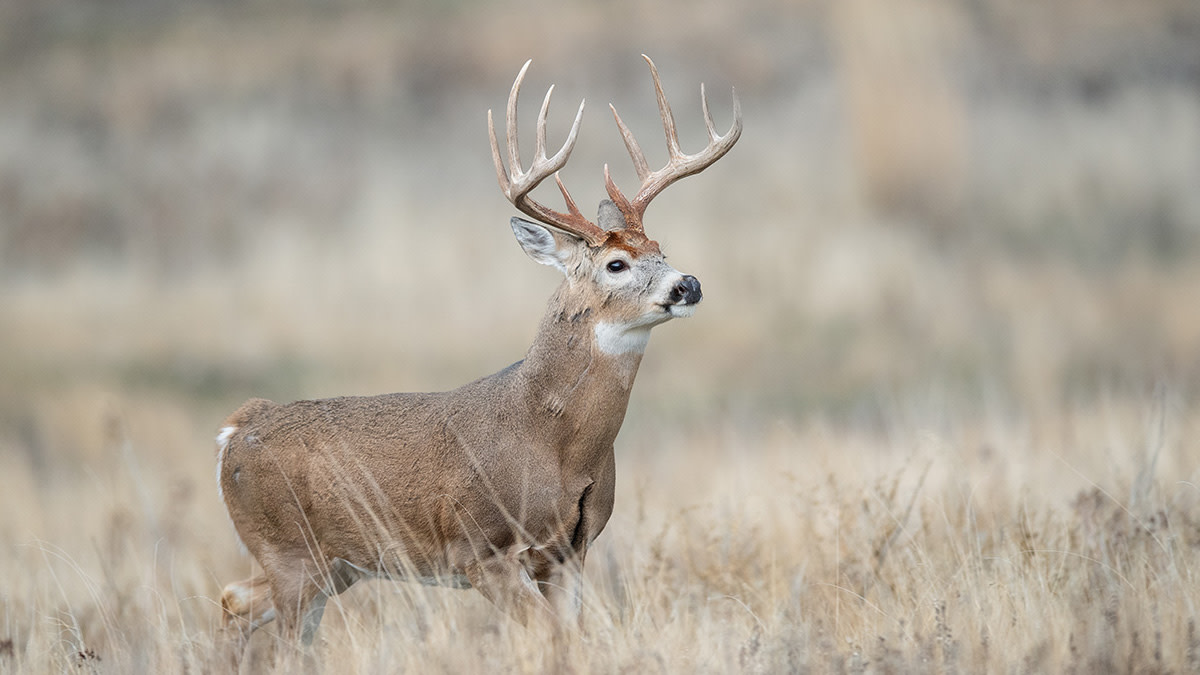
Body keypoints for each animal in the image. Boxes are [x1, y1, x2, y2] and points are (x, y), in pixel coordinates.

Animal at [215, 55, 741, 661]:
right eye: (616, 264)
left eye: (660, 249)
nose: (689, 284)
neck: (554, 443)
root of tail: (234, 431)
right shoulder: (479, 552)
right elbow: (548, 637)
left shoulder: (570, 554)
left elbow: (571, 639)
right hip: (290, 552)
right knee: (275, 635)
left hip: (334, 565)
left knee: (234, 600)